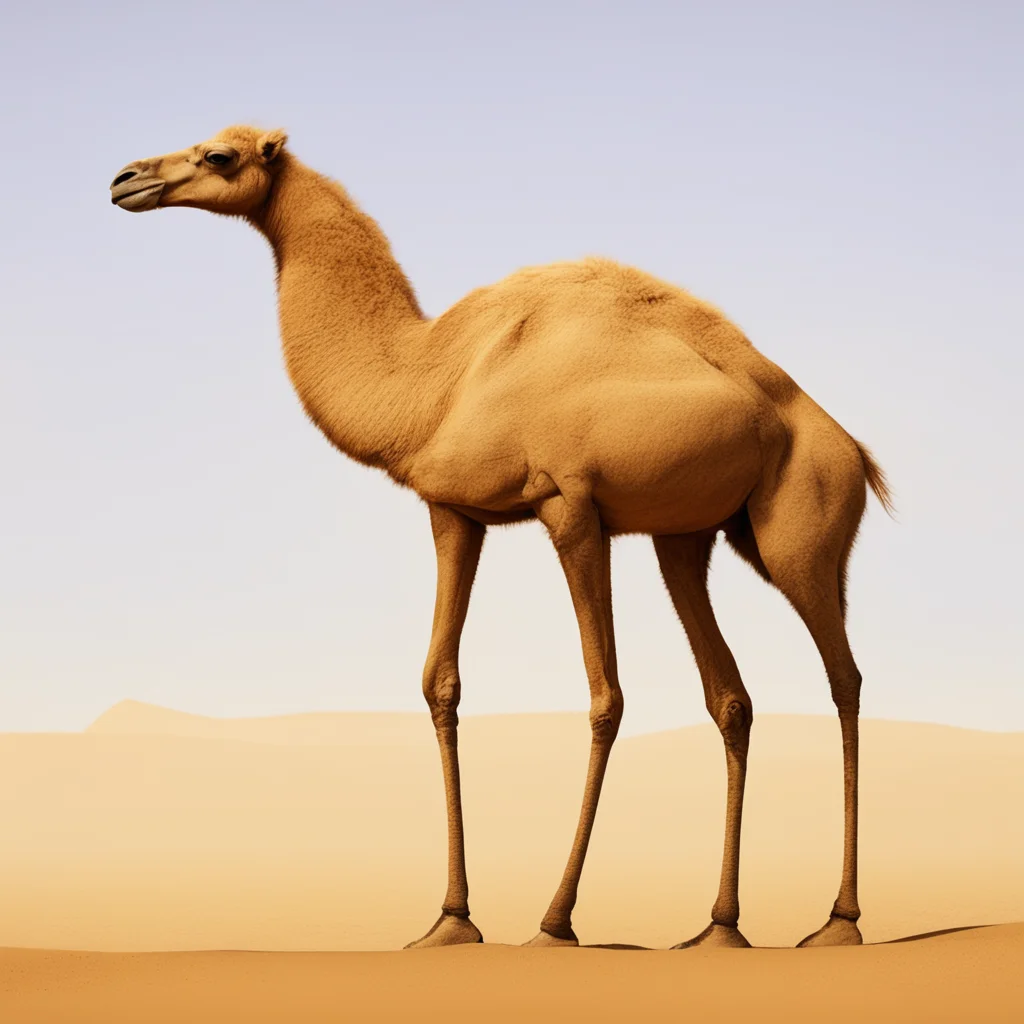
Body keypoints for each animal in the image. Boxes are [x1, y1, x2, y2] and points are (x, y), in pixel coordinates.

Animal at [109, 125, 893, 951]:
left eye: (220, 156)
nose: (126, 180)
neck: (430, 384)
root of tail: (853, 452)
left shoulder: (569, 506)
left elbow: (604, 694)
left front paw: (553, 923)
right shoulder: (455, 510)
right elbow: (440, 681)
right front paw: (449, 920)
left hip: (799, 534)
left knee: (843, 677)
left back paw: (838, 921)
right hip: (687, 538)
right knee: (732, 696)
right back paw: (719, 928)